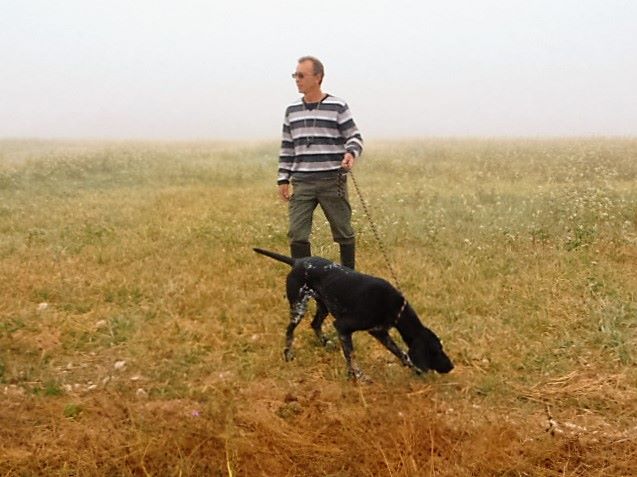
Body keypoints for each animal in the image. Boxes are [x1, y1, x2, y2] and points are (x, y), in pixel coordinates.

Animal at [253, 249, 452, 380]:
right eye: (436, 351)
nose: (451, 366)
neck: (395, 307)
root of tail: (297, 261)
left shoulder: (380, 332)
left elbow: (401, 352)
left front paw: (414, 368)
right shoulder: (343, 327)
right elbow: (351, 356)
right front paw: (357, 376)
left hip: (324, 306)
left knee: (315, 324)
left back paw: (325, 343)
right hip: (298, 306)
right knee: (289, 331)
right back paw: (288, 354)